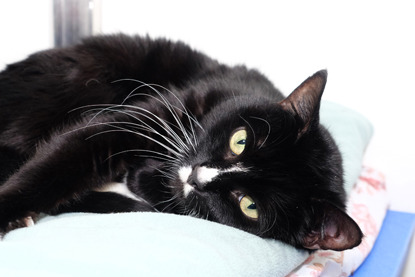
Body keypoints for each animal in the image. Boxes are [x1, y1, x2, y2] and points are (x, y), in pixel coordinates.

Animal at [0, 33, 364, 249]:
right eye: (240, 140)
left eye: (249, 204)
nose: (197, 177)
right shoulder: (159, 113)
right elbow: (74, 152)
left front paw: (148, 180)